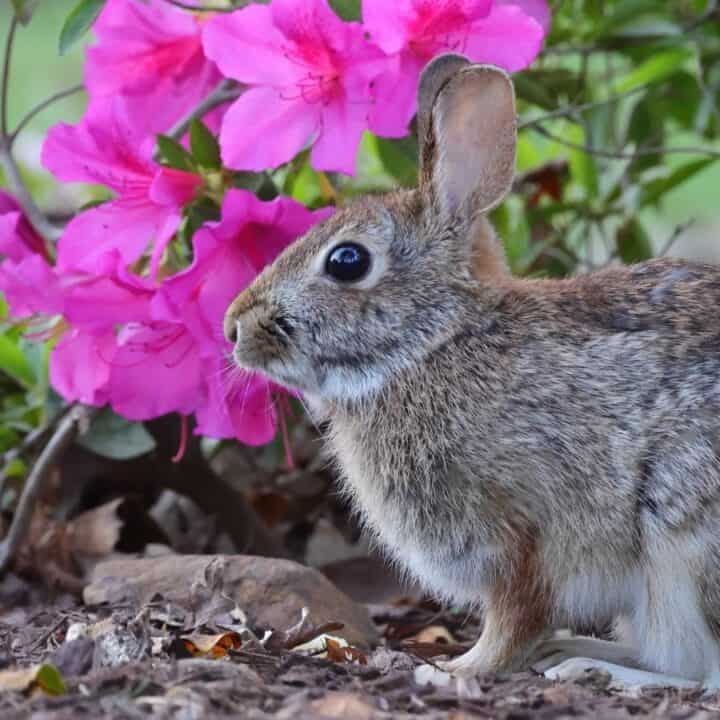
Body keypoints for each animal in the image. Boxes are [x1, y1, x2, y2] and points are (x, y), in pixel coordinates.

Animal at [223, 53, 720, 690]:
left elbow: (511, 619)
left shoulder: (518, 534)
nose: (234, 328)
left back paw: (585, 666)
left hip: (684, 543)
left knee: (701, 674)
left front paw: (454, 669)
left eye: (347, 260)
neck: (435, 343)